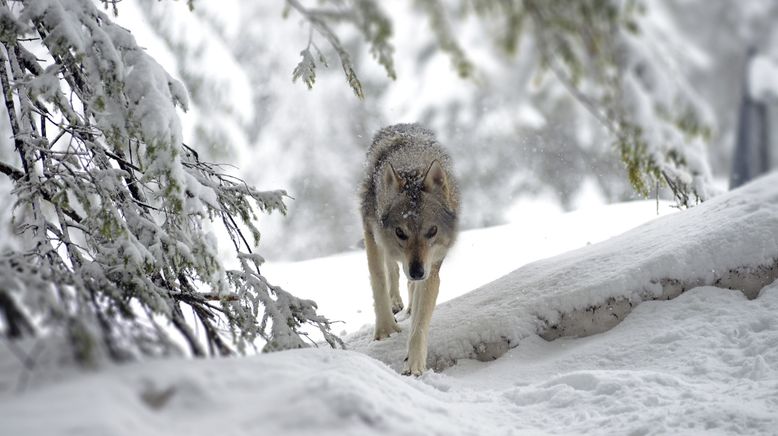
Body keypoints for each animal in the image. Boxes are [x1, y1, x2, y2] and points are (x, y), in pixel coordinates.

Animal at [360, 122, 460, 374]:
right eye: (400, 232)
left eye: (432, 231)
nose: (417, 271)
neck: (412, 166)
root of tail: (402, 126)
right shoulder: (371, 233)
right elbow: (379, 280)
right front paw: (385, 330)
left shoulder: (432, 267)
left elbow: (420, 323)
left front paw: (415, 366)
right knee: (392, 269)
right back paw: (396, 303)